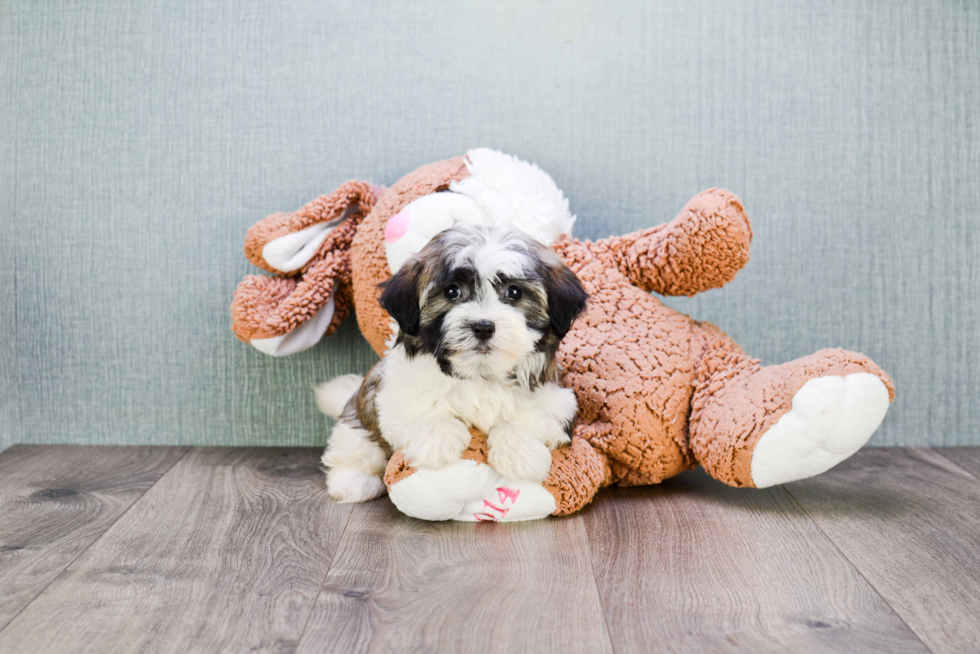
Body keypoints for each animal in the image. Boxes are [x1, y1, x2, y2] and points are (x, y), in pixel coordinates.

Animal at [318, 223, 584, 504]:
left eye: (514, 292)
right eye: (452, 291)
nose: (483, 326)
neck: (479, 373)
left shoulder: (558, 400)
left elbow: (532, 417)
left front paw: (518, 453)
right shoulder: (392, 394)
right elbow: (421, 408)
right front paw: (439, 439)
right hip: (358, 419)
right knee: (355, 448)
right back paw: (353, 481)